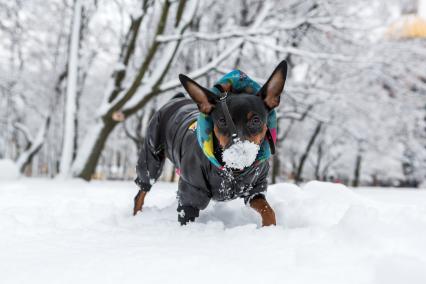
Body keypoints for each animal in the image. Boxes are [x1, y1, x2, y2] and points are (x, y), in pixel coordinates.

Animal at [133, 60, 286, 226]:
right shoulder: (191, 193)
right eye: (222, 121)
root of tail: (175, 99)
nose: (238, 152)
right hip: (152, 159)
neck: (234, 172)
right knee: (141, 191)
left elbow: (268, 211)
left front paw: (269, 228)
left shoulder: (255, 189)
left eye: (256, 120)